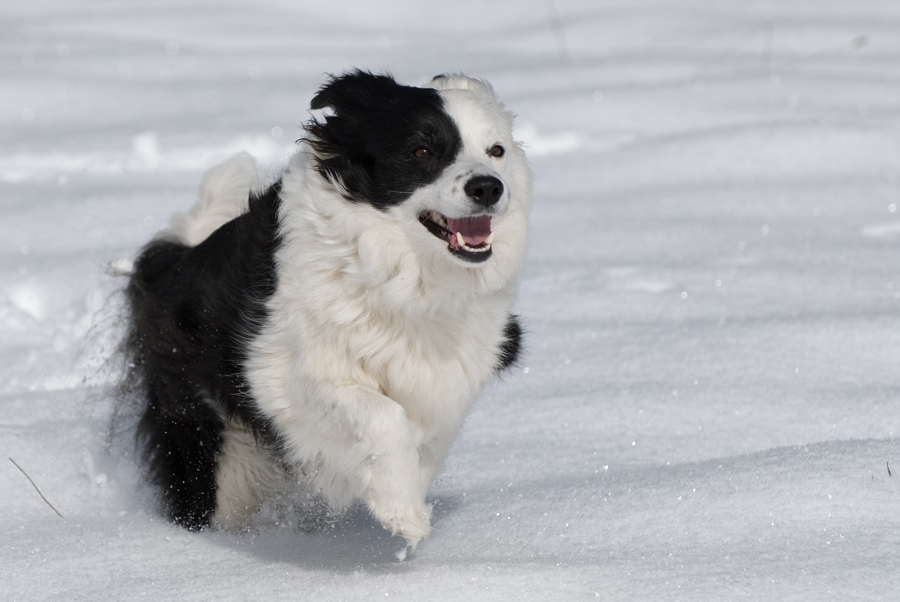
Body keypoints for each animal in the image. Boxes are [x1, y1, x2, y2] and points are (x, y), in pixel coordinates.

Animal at [125, 70, 536, 548]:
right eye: (421, 150)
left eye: (496, 150)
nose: (488, 187)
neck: (404, 276)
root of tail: (178, 261)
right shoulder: (279, 373)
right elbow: (383, 415)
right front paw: (405, 514)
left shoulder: (450, 378)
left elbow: (426, 439)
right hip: (208, 436)